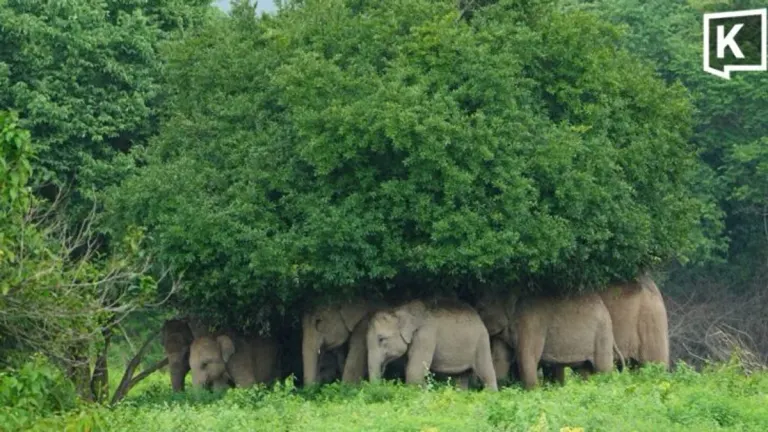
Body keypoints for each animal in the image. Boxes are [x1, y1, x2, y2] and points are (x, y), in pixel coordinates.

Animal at [366, 298, 498, 391]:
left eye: (381, 339)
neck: (400, 310)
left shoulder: (425, 336)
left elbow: (414, 372)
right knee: (460, 377)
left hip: (481, 341)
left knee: (486, 372)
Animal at [475, 291, 615, 389]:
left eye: (481, 308)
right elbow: (500, 359)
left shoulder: (531, 324)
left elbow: (527, 358)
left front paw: (531, 392)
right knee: (583, 370)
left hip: (602, 333)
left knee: (603, 368)